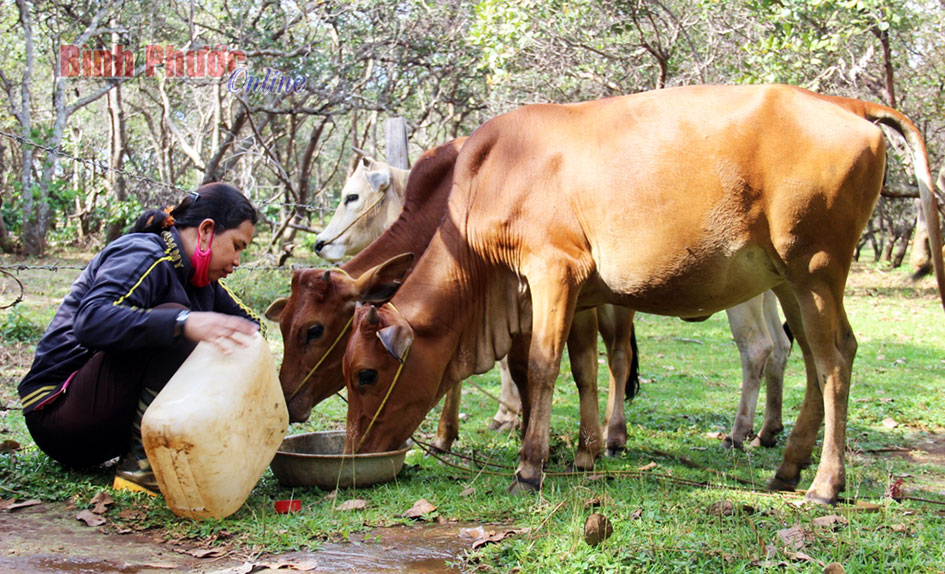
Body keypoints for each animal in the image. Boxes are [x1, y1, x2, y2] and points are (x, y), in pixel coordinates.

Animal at [342, 83, 944, 506]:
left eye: (366, 374)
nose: (351, 457)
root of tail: (847, 103)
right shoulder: (576, 294)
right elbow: (578, 368)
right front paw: (579, 454)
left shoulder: (553, 270)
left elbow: (540, 366)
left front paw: (530, 468)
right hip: (792, 279)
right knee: (818, 358)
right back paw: (788, 467)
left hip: (814, 268)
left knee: (833, 357)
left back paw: (824, 483)